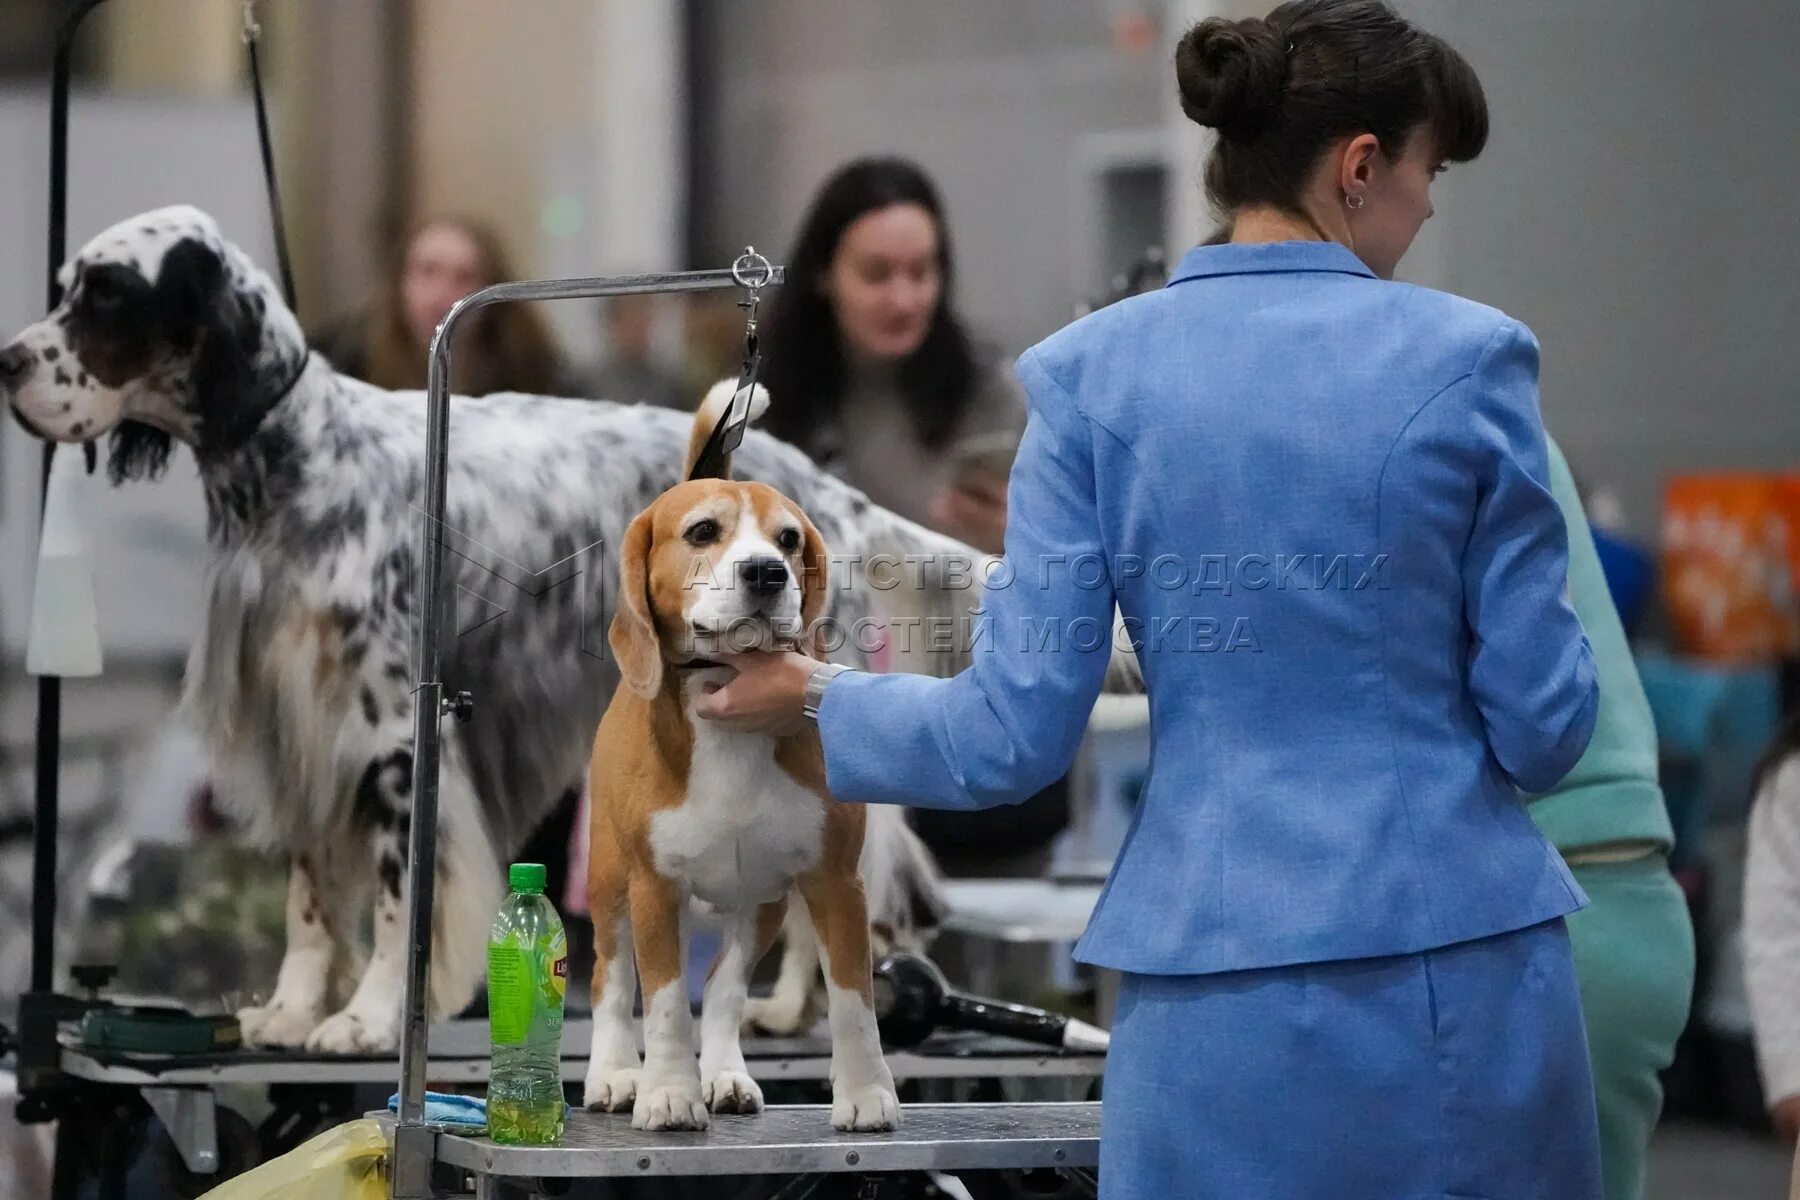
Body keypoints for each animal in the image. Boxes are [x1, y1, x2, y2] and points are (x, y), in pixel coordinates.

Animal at [3, 206, 1137, 1050]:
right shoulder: (300, 724)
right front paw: (289, 1009)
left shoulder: (392, 732)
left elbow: (397, 897)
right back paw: (781, 1007)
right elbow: (309, 897)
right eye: (67, 285)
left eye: (105, 294)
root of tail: (819, 498)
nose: (9, 362)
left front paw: (367, 1020)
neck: (293, 470)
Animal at [586, 386, 900, 1137]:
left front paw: (865, 1093)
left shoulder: (835, 882)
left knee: (723, 989)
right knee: (609, 981)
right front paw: (669, 1092)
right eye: (703, 532)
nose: (766, 572)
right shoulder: (653, 888)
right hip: (608, 879)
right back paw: (615, 1074)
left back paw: (725, 1075)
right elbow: (664, 1004)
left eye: (789, 540)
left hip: (759, 902)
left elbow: (853, 1000)